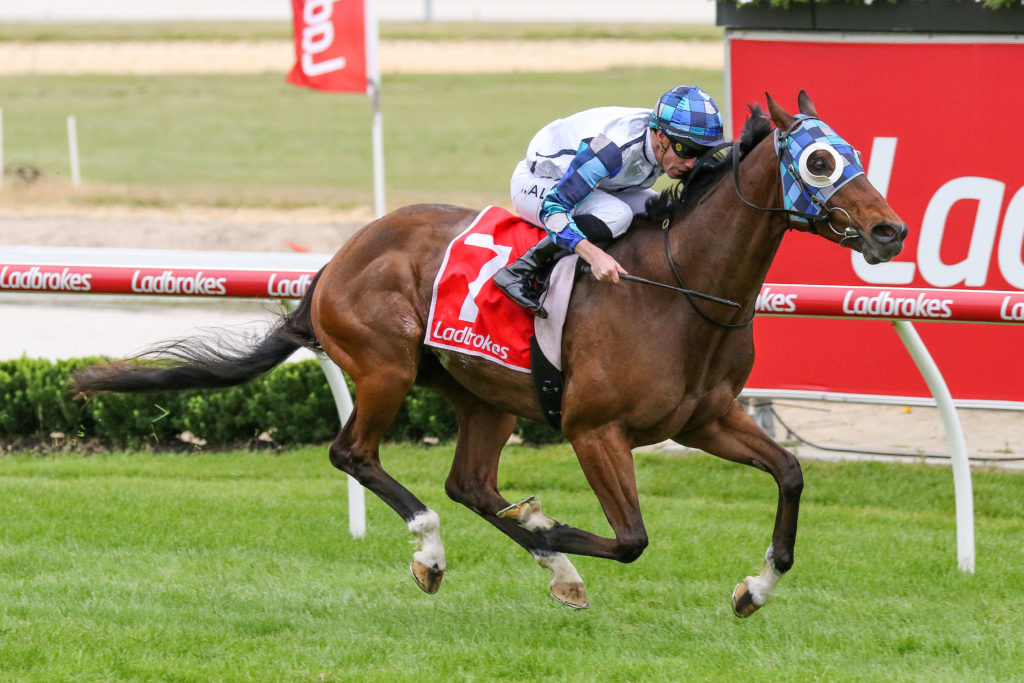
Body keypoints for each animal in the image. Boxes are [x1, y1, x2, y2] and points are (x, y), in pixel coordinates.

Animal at [71, 92, 907, 617]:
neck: (677, 285)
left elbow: (790, 472)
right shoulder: (593, 429)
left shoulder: (706, 417)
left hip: (482, 394)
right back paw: (437, 550)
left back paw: (547, 564)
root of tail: (336, 260)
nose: (890, 230)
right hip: (384, 365)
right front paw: (548, 529)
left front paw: (753, 588)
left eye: (854, 151)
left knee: (469, 481)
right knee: (354, 453)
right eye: (820, 162)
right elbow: (631, 538)